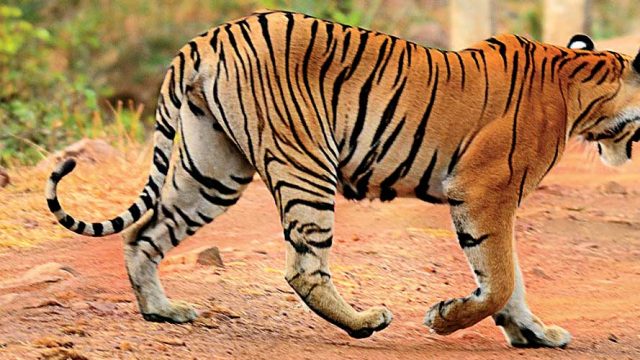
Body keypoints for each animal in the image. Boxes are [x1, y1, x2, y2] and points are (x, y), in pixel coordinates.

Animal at [46, 10, 640, 348]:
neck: (580, 88)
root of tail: (208, 38)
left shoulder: (489, 200)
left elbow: (507, 281)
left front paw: (535, 334)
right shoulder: (483, 192)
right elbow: (497, 280)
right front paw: (446, 319)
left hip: (211, 171)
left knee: (143, 234)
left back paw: (162, 312)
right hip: (306, 165)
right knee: (303, 269)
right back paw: (364, 323)